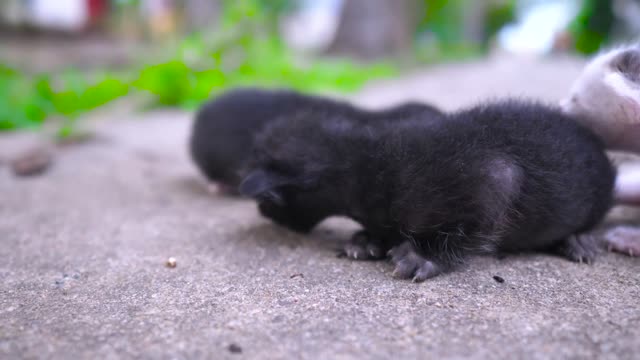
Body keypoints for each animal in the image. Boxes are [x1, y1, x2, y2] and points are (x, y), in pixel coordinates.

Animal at [240, 99, 616, 282]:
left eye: (268, 203)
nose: (260, 210)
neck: (363, 161)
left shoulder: (492, 178)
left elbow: (481, 211)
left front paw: (424, 256)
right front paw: (368, 240)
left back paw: (578, 239)